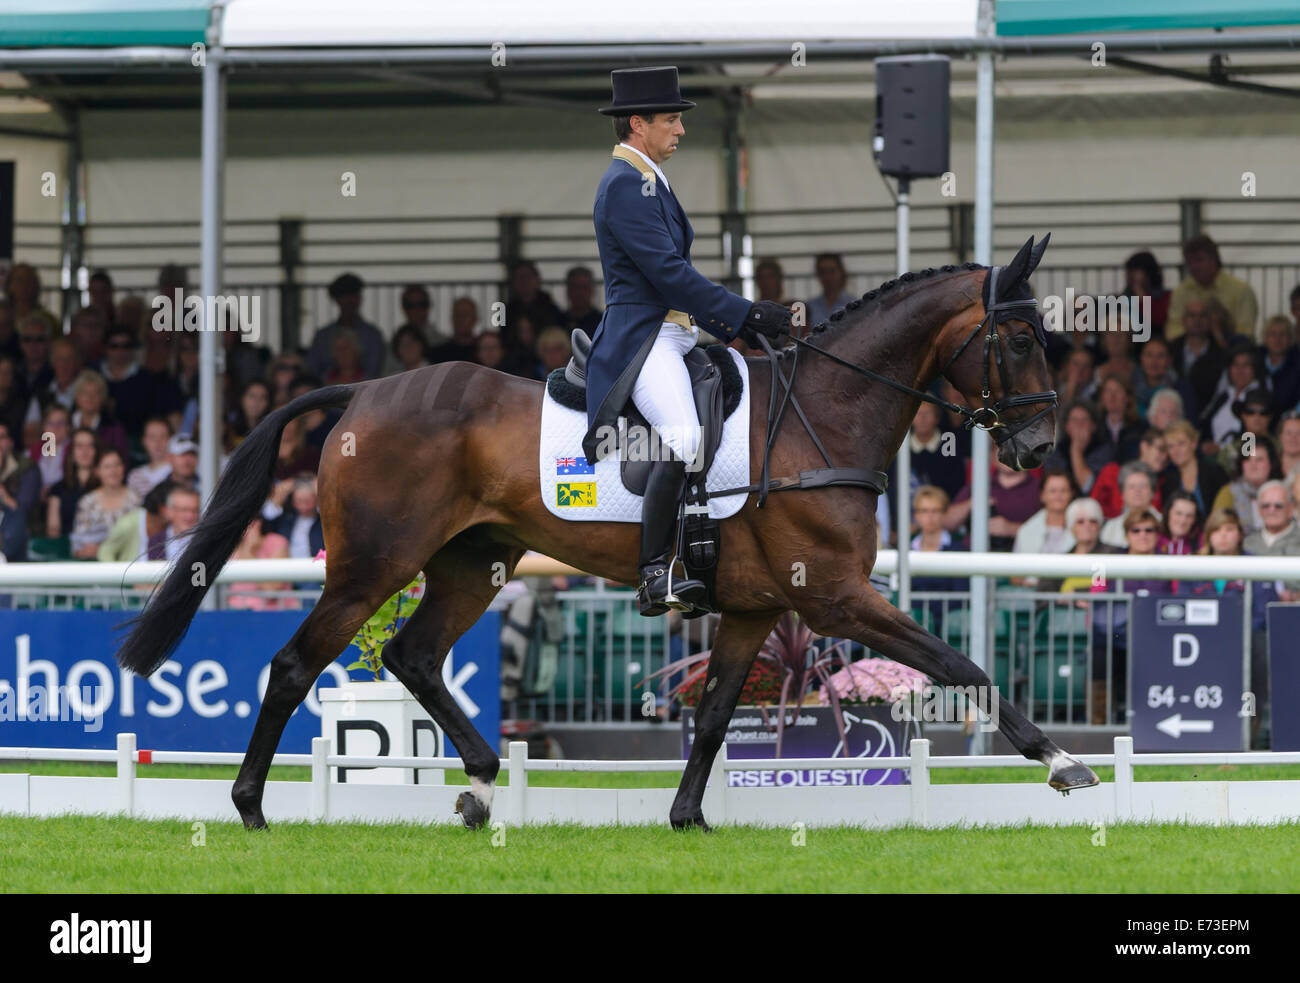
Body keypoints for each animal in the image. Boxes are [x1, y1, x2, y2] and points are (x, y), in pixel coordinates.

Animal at [115, 234, 1100, 832]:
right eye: (1018, 340)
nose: (1042, 446)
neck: (820, 412)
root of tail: (362, 392)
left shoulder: (757, 609)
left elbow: (714, 715)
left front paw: (688, 817)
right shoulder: (835, 595)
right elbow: (961, 664)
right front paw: (1062, 764)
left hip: (473, 562)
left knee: (413, 655)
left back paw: (480, 784)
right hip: (372, 566)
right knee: (296, 663)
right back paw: (252, 808)